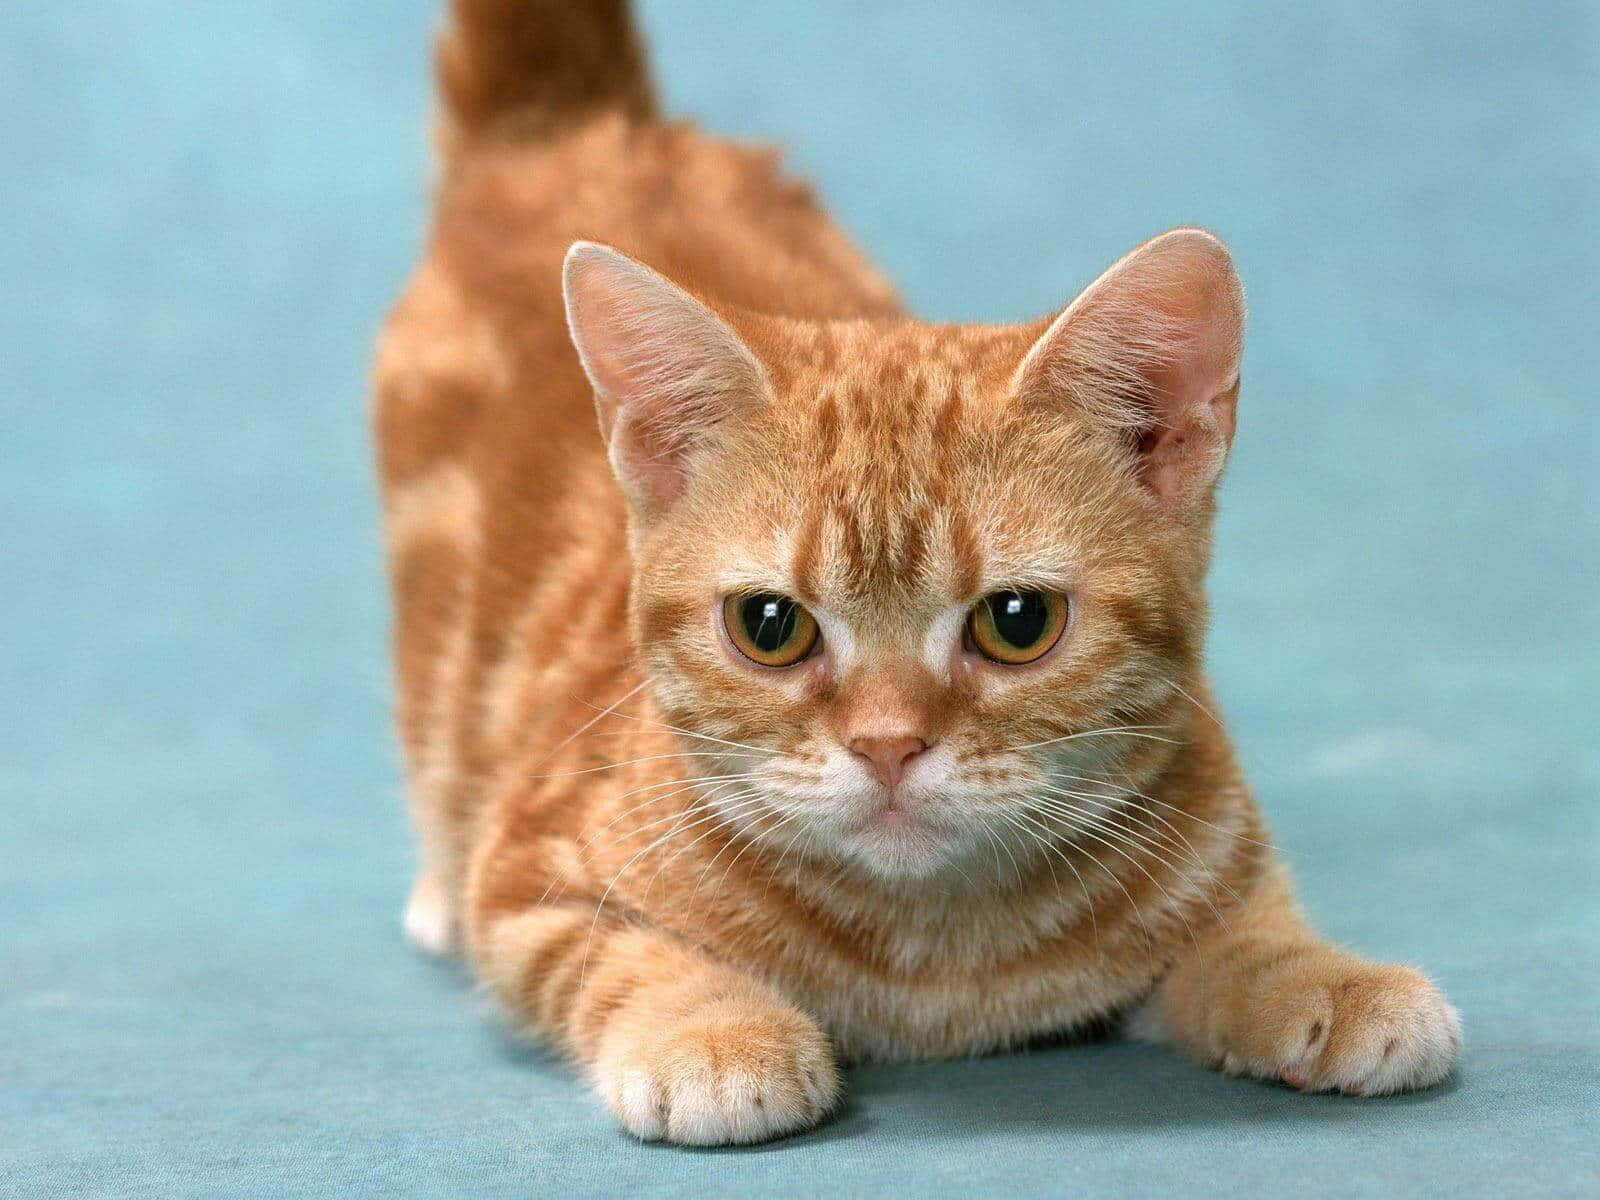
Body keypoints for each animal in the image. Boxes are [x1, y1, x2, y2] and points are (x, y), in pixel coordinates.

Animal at [374, 0, 1465, 1145]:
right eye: (770, 626)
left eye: (1017, 621)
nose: (887, 745)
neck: (935, 958)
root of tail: (587, 130)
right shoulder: (529, 872)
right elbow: (623, 955)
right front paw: (713, 1031)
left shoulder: (1211, 831)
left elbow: (1244, 920)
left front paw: (1323, 978)